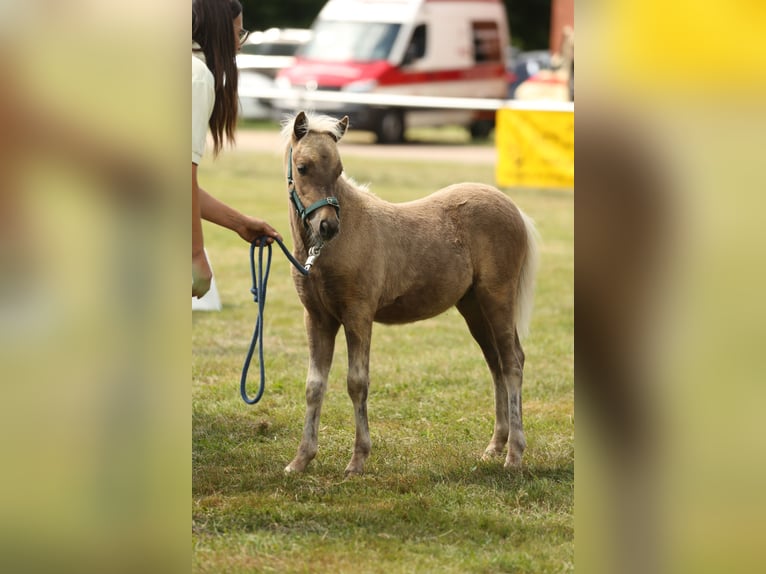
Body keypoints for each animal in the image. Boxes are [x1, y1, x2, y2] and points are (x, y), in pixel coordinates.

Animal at [280, 111, 540, 476]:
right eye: (302, 167)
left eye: (339, 169)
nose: (328, 226)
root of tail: (514, 209)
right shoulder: (317, 318)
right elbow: (314, 386)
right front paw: (300, 460)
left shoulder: (358, 315)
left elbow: (356, 382)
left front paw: (357, 460)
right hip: (474, 308)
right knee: (496, 364)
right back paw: (494, 447)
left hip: (498, 299)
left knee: (513, 363)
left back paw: (514, 455)